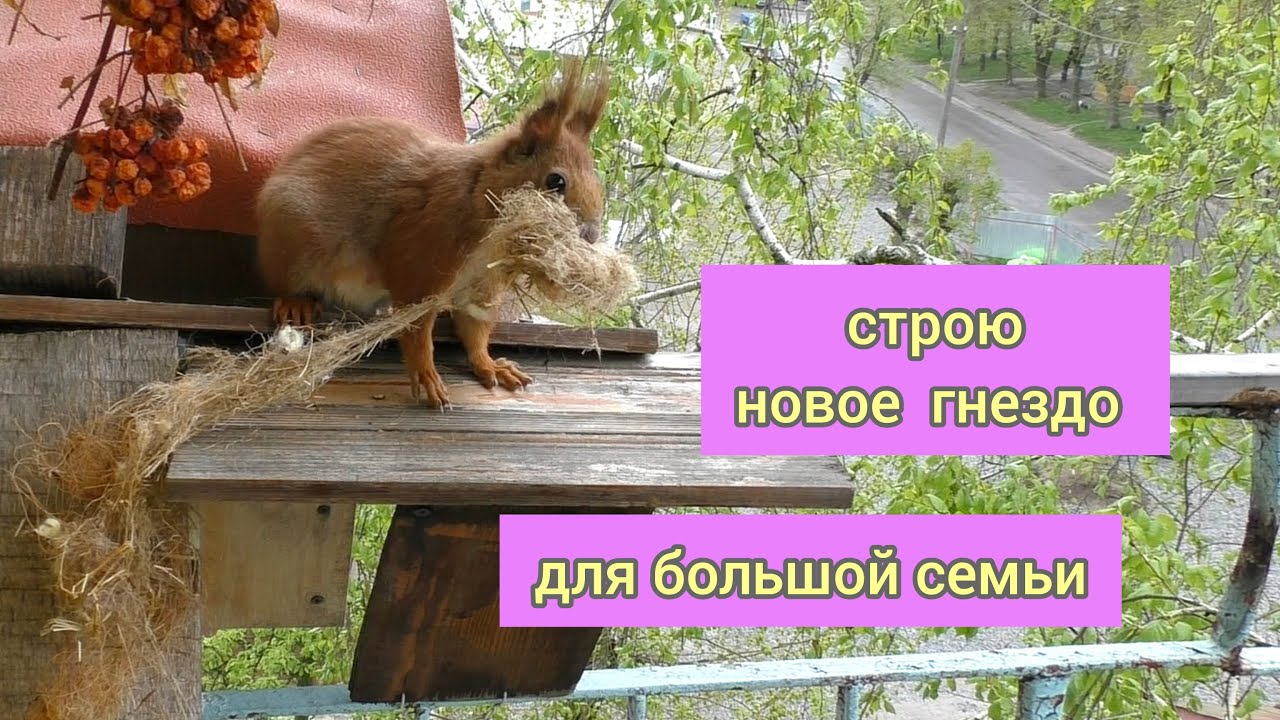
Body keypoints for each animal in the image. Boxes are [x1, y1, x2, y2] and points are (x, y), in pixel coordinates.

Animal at [254, 57, 610, 408]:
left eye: (597, 180)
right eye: (556, 181)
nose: (591, 235)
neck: (476, 195)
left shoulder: (482, 282)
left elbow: (475, 328)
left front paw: (489, 363)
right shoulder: (421, 255)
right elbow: (416, 329)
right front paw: (426, 373)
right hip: (292, 241)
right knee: (288, 282)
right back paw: (296, 302)